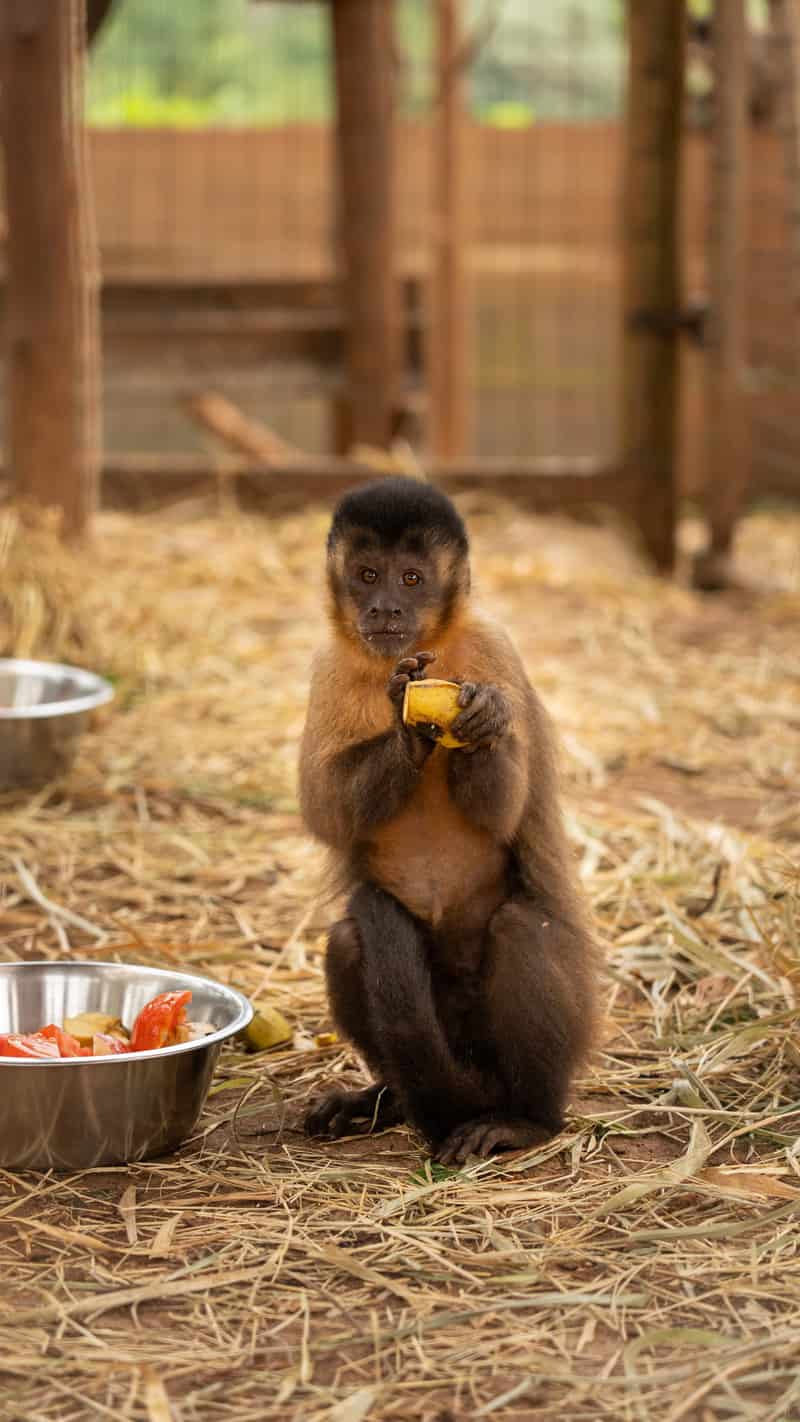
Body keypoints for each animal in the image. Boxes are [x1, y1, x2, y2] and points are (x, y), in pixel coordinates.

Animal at [298, 477, 597, 1165]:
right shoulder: (328, 665)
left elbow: (504, 812)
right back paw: (385, 1098)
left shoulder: (494, 648)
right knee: (351, 938)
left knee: (521, 927)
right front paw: (408, 736)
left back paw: (525, 1119)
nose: (384, 608)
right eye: (367, 574)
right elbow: (322, 809)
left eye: (411, 579)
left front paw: (484, 722)